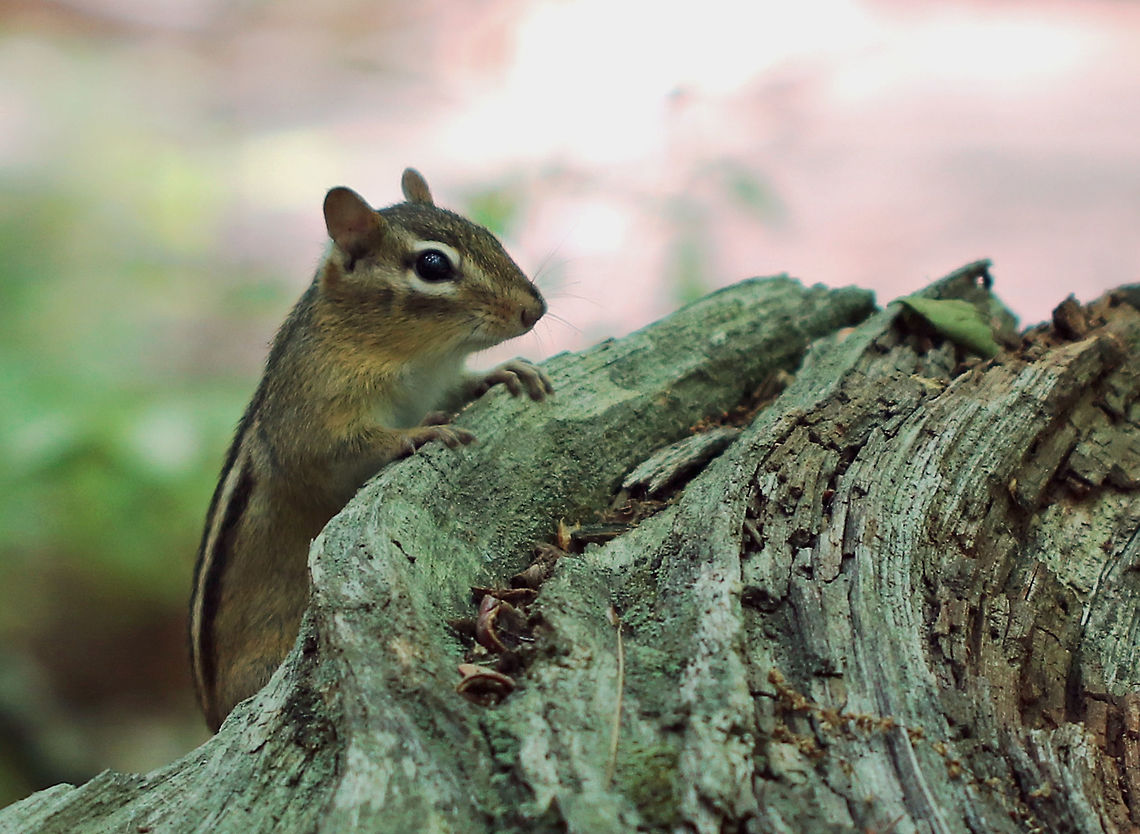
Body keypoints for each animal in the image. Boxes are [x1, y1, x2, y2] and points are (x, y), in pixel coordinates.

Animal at [189, 169, 552, 731]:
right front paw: (416, 435)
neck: (417, 359)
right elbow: (334, 453)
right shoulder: (314, 419)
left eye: (488, 235)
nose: (535, 309)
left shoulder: (434, 385)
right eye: (433, 265)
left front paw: (504, 372)